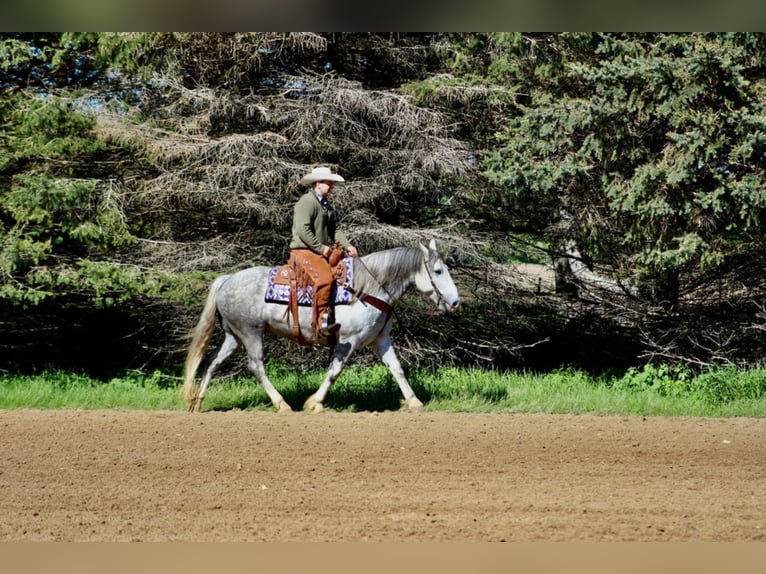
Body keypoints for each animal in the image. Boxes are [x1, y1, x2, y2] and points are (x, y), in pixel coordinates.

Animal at [182, 238, 462, 414]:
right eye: (438, 271)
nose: (455, 302)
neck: (367, 290)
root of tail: (227, 280)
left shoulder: (380, 340)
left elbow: (397, 369)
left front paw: (414, 403)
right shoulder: (349, 340)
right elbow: (335, 371)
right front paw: (315, 403)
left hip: (234, 336)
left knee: (213, 362)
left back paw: (197, 404)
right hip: (251, 333)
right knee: (256, 367)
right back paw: (282, 404)